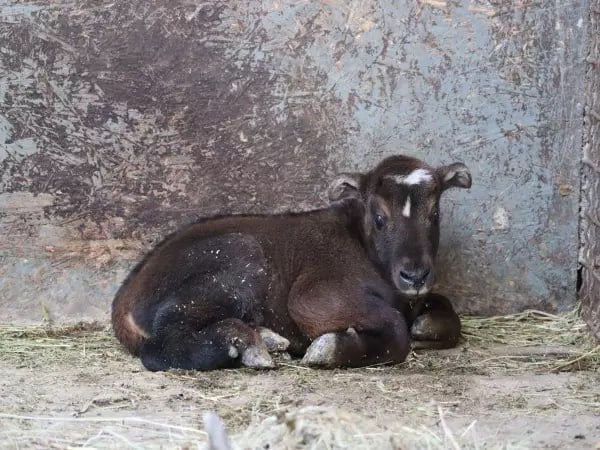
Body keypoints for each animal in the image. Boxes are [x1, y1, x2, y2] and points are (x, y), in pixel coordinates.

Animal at [111, 155, 468, 370]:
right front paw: (328, 349)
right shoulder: (313, 296)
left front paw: (425, 327)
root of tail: (124, 301)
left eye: (434, 215)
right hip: (238, 258)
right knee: (160, 345)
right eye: (380, 218)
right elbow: (396, 329)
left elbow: (446, 313)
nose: (415, 275)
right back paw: (242, 343)